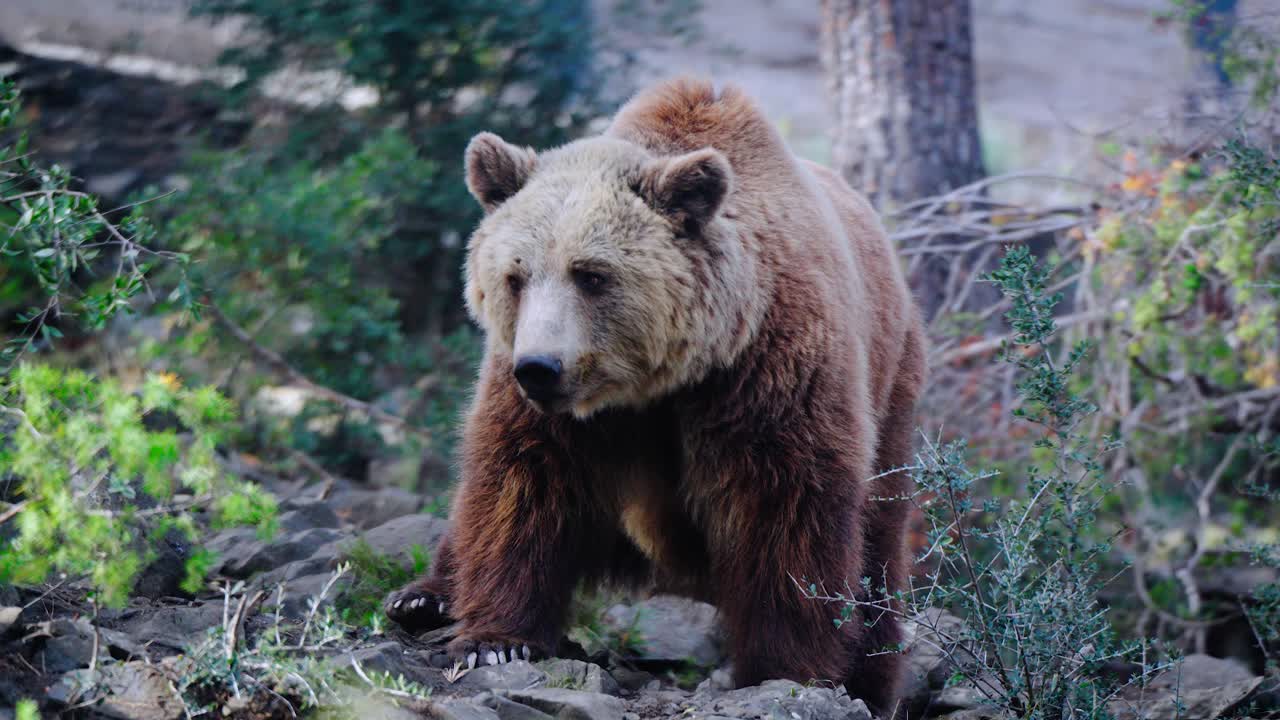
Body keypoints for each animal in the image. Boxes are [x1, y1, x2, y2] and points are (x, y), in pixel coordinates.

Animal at [384, 77, 926, 715]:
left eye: (591, 274)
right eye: (515, 276)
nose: (539, 368)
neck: (656, 383)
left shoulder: (768, 372)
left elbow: (787, 508)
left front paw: (789, 668)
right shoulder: (555, 413)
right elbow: (521, 486)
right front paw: (495, 641)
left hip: (893, 383)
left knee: (879, 534)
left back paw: (873, 669)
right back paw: (422, 598)